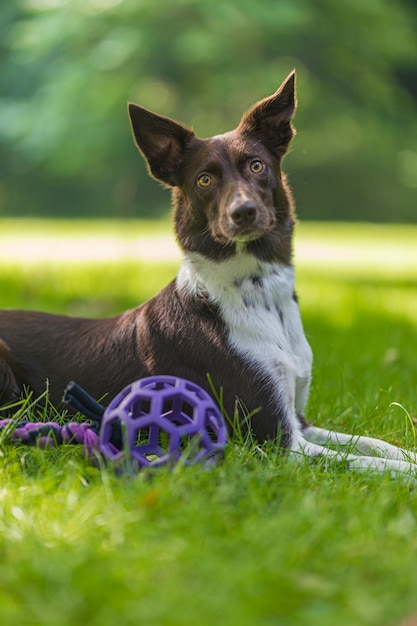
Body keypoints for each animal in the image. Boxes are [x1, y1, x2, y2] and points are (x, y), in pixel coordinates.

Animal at [0, 72, 416, 472]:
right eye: (205, 179)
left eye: (256, 165)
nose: (243, 212)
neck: (257, 292)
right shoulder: (279, 443)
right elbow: (375, 463)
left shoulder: (301, 421)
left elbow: (378, 446)